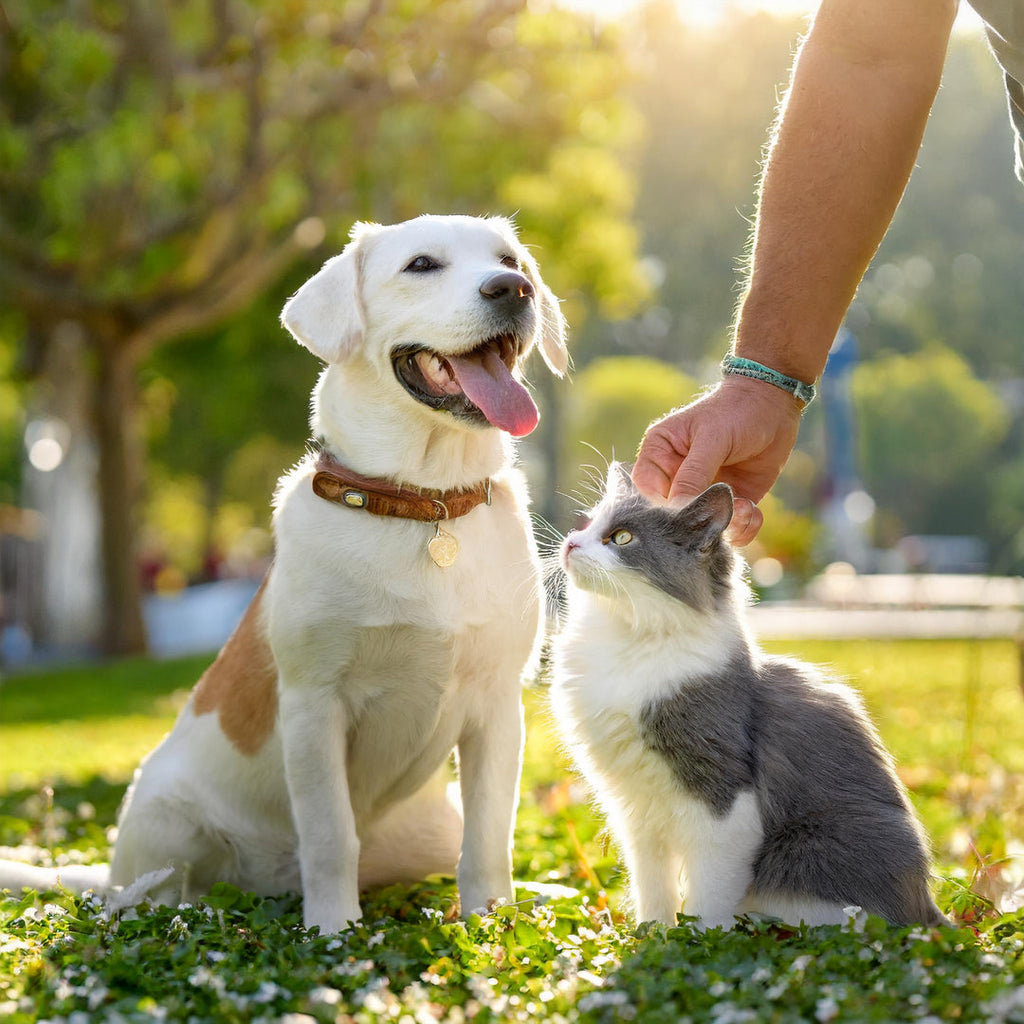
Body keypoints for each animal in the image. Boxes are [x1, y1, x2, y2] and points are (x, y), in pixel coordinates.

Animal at [4, 218, 569, 937]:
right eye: (421, 265)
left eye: (510, 261)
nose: (512, 289)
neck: (424, 504)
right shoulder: (314, 703)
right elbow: (329, 835)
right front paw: (333, 933)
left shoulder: (498, 706)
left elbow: (491, 836)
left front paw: (493, 922)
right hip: (163, 816)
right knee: (146, 897)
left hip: (435, 819)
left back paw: (548, 892)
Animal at [552, 464, 942, 929]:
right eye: (588, 524)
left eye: (622, 537)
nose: (571, 542)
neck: (627, 638)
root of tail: (926, 908)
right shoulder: (635, 809)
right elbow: (653, 886)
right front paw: (651, 934)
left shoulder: (725, 797)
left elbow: (709, 895)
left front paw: (697, 938)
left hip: (806, 849)